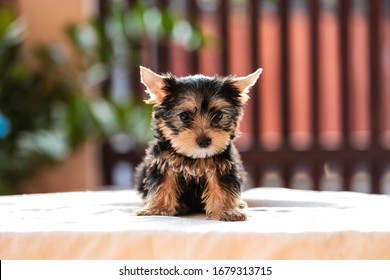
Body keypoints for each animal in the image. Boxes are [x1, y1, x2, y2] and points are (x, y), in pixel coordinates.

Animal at [134, 66, 262, 221]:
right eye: (184, 116)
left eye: (219, 116)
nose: (204, 141)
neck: (194, 157)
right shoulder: (164, 162)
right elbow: (163, 183)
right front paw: (157, 209)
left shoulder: (221, 165)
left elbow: (222, 185)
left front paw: (226, 211)